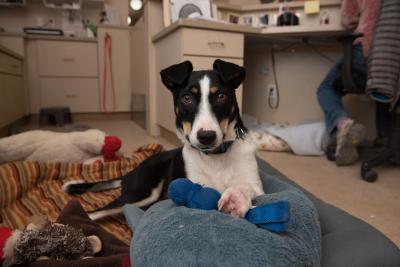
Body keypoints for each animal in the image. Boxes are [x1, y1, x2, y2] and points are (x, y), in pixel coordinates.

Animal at [62, 59, 264, 221]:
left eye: (221, 96)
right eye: (187, 98)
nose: (206, 136)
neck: (216, 157)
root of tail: (132, 171)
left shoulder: (257, 186)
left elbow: (248, 187)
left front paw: (236, 199)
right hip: (141, 192)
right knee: (93, 213)